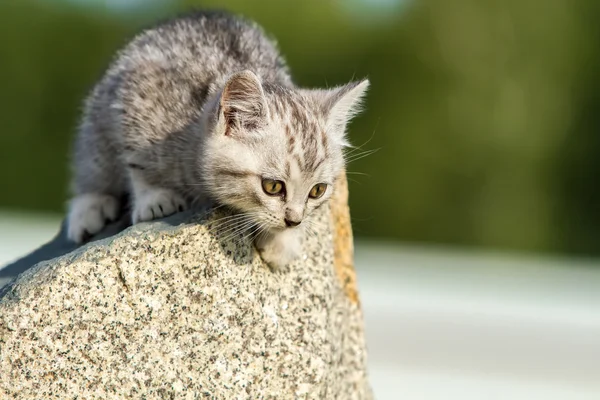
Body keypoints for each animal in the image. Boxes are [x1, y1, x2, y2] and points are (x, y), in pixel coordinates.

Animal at [69, 10, 370, 268]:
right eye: (272, 187)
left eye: (317, 190)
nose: (293, 221)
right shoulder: (138, 93)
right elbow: (137, 157)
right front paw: (154, 196)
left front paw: (282, 241)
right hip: (100, 111)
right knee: (92, 163)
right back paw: (90, 208)